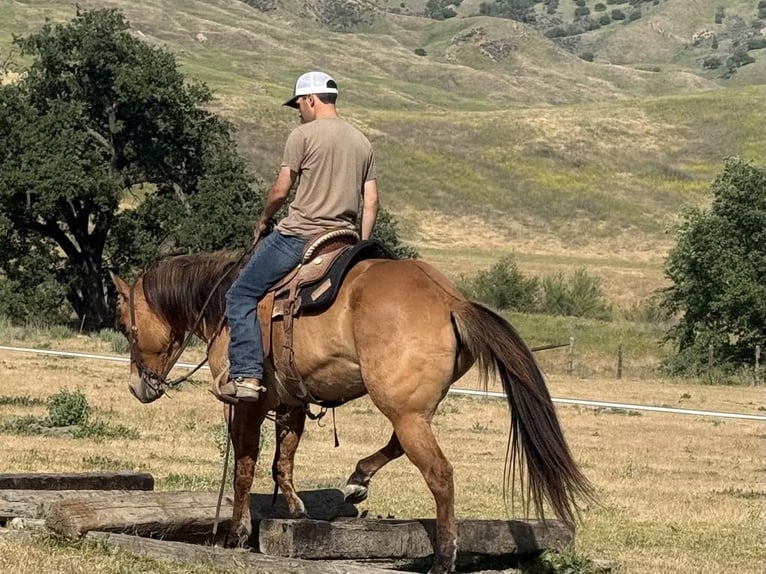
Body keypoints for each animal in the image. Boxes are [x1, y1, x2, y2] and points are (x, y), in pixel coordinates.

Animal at [110, 248, 595, 574]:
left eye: (127, 326)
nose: (137, 386)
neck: (224, 302)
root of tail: (449, 301)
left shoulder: (248, 403)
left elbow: (244, 466)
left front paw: (236, 533)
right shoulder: (292, 401)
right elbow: (284, 457)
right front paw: (293, 507)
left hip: (403, 410)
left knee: (439, 474)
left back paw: (444, 557)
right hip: (411, 408)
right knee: (397, 445)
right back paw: (357, 480)